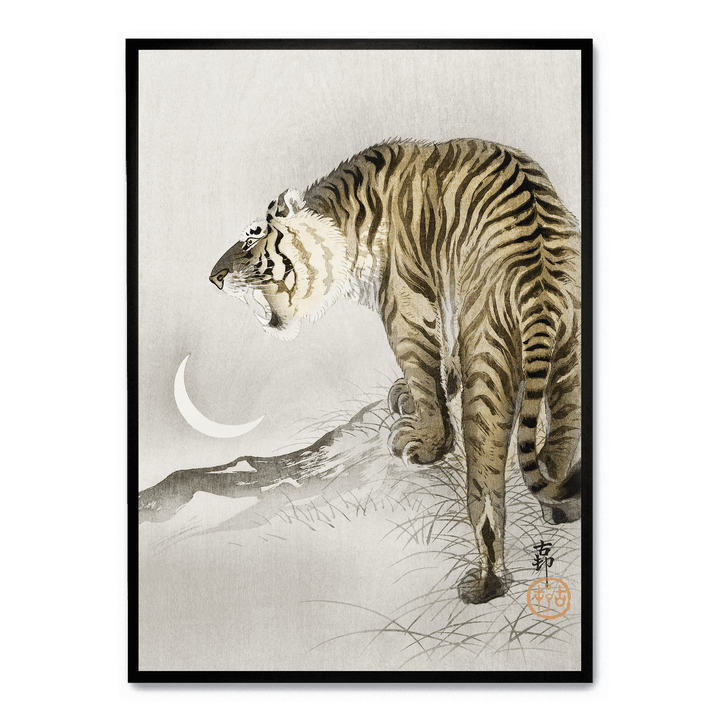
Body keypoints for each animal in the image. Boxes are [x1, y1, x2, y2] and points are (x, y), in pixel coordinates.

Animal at [210, 139, 581, 605]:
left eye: (251, 239)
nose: (214, 277)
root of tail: (541, 286)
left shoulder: (405, 304)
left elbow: (422, 369)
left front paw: (426, 441)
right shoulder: (445, 292)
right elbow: (443, 353)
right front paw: (423, 390)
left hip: (489, 362)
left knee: (486, 488)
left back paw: (486, 584)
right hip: (571, 362)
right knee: (558, 444)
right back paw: (562, 508)